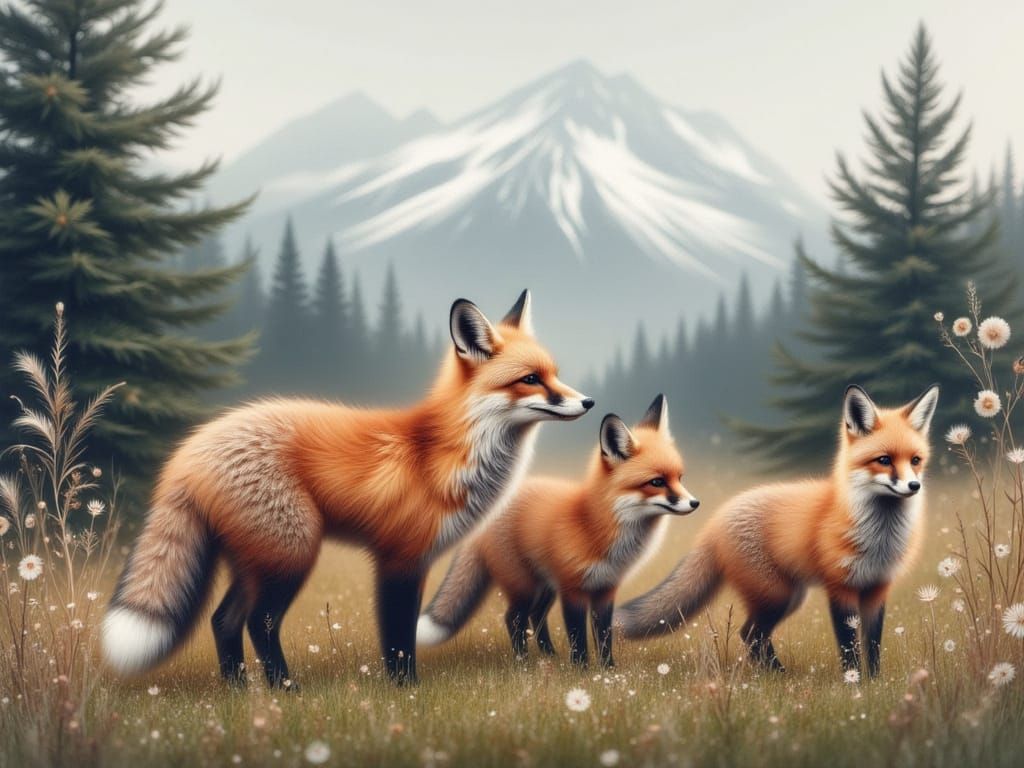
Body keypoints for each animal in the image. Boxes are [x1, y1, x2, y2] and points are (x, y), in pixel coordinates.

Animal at [101, 290, 594, 687]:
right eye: (530, 379)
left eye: (554, 374)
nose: (588, 402)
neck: (447, 452)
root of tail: (189, 448)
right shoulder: (399, 557)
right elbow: (397, 636)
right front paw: (406, 690)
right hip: (291, 554)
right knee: (258, 623)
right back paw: (285, 690)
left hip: (260, 559)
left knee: (223, 620)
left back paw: (238, 689)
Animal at [417, 394, 700, 667]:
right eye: (657, 482)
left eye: (679, 478)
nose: (695, 503)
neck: (594, 524)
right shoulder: (572, 589)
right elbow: (578, 635)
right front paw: (581, 669)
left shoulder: (605, 589)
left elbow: (603, 635)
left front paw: (608, 669)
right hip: (525, 586)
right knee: (514, 618)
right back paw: (524, 663)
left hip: (545, 587)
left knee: (535, 616)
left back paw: (549, 656)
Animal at [615, 384, 939, 679]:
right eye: (884, 460)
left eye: (915, 460)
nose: (913, 486)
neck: (879, 539)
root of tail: (716, 519)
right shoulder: (840, 588)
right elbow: (849, 645)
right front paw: (854, 684)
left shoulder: (877, 588)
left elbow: (872, 644)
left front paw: (874, 682)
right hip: (776, 595)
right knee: (750, 633)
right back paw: (780, 675)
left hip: (790, 595)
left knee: (752, 635)